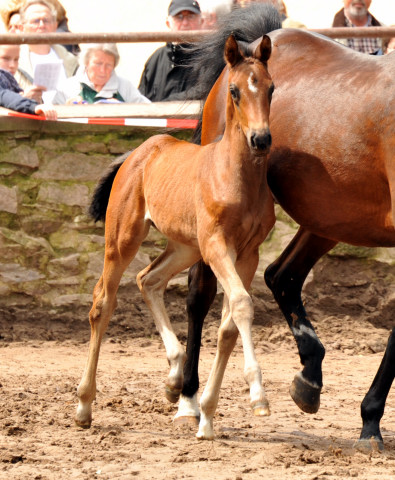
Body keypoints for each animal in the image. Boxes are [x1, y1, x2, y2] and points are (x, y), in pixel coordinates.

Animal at [75, 33, 278, 438]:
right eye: (234, 90)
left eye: (271, 88)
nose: (261, 139)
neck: (238, 178)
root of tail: (138, 152)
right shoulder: (217, 246)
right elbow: (242, 305)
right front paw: (258, 397)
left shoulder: (248, 253)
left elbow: (230, 324)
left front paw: (207, 416)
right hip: (124, 238)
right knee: (103, 302)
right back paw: (84, 405)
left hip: (185, 246)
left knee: (148, 279)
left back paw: (173, 378)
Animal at [178, 3, 395, 450]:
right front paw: (370, 420)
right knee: (201, 292)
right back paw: (189, 397)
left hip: (329, 218)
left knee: (282, 275)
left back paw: (310, 378)